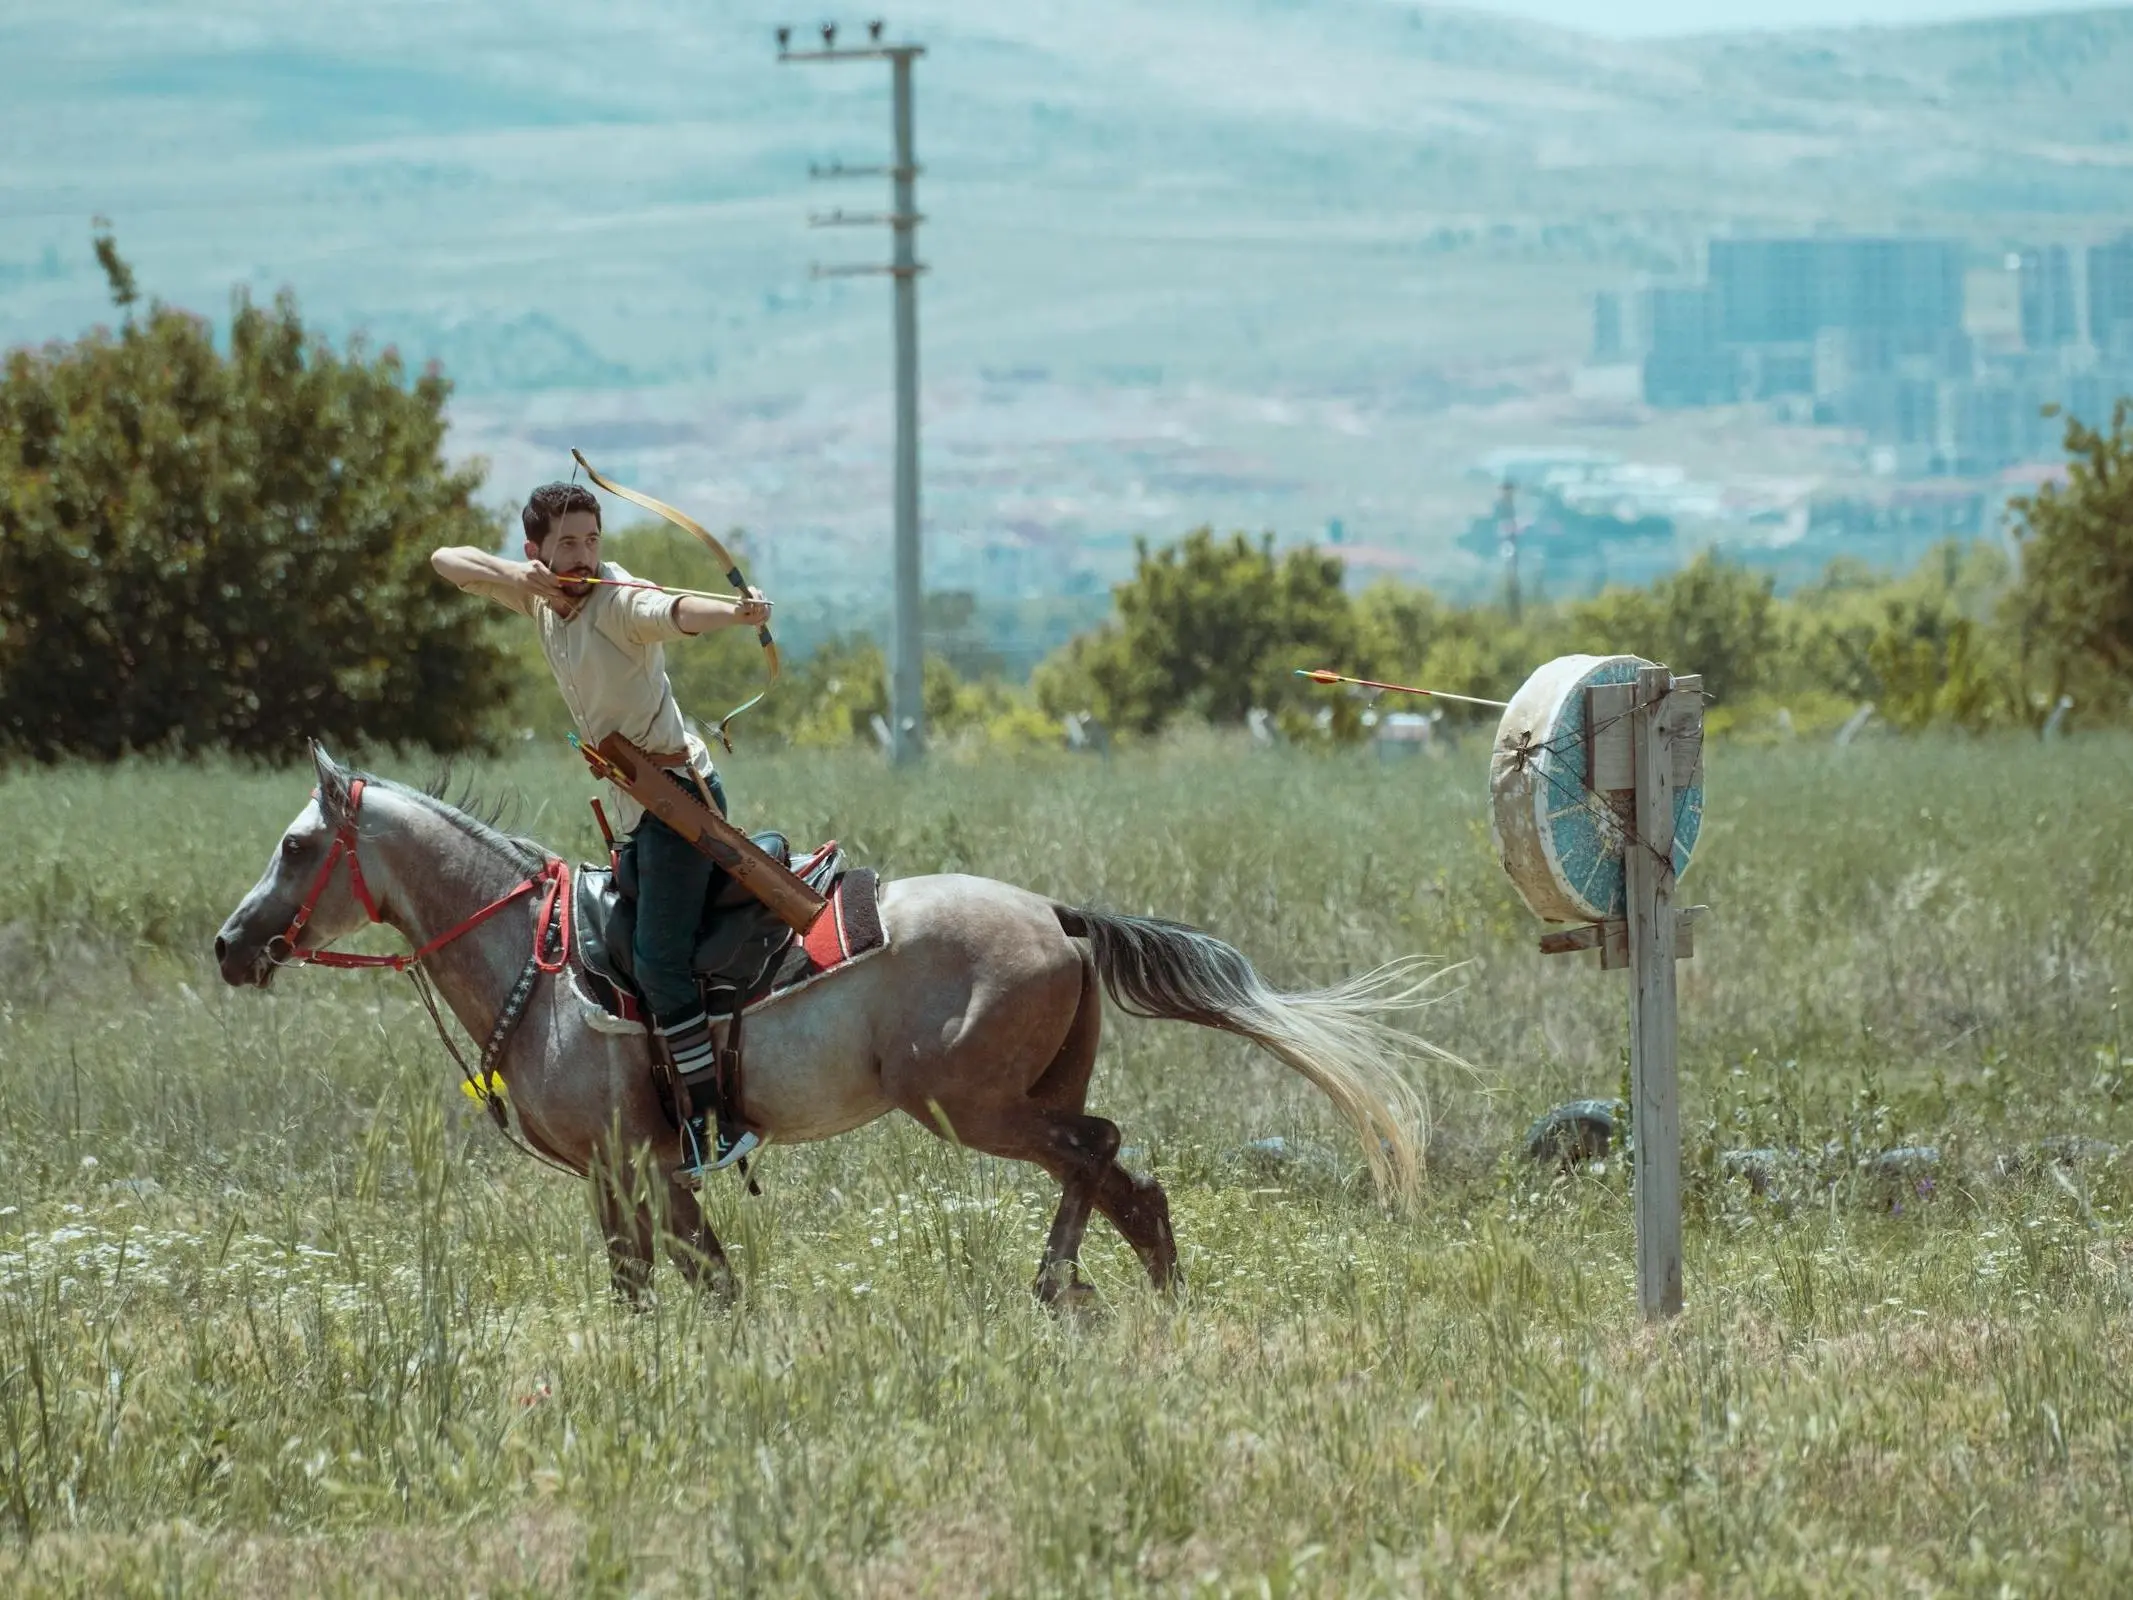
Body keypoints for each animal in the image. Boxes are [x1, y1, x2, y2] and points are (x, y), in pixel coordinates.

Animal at [212, 746, 1450, 1305]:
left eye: (292, 845)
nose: (229, 944)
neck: (545, 967)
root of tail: (1054, 913)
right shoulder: (631, 1171)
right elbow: (668, 1279)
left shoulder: (635, 1159)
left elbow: (687, 1280)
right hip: (1027, 1095)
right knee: (1122, 1178)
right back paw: (1127, 1298)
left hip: (970, 1104)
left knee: (1102, 1159)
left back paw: (1068, 1287)